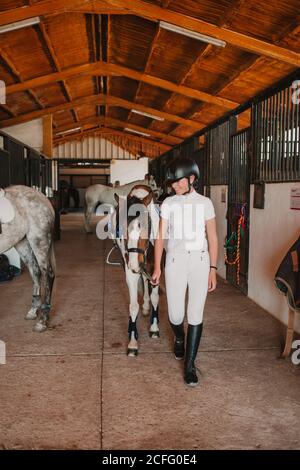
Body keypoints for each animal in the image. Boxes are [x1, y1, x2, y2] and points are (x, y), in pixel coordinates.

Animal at [0, 185, 55, 332]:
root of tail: (42, 196)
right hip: (22, 243)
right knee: (35, 271)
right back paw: (33, 311)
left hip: (38, 240)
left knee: (47, 274)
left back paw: (42, 320)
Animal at [98, 184, 159, 356]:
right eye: (122, 227)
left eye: (146, 226)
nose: (133, 263)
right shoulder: (130, 270)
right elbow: (133, 306)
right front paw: (133, 341)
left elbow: (155, 297)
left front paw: (154, 328)